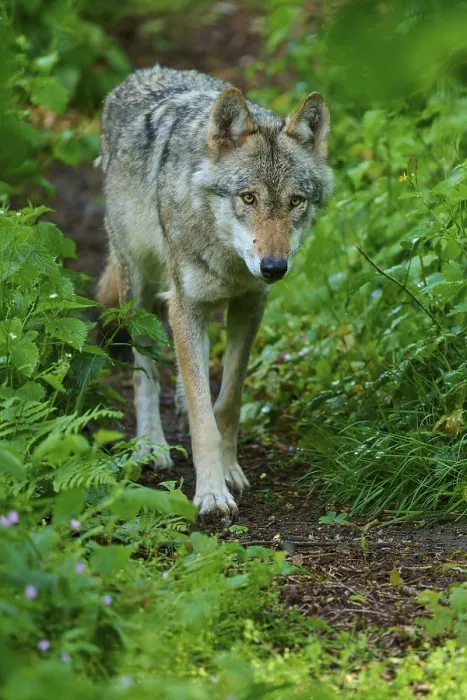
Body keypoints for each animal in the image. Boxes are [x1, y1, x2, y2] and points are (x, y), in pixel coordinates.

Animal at [96, 64, 333, 519]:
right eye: (248, 198)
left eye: (295, 201)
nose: (274, 267)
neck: (228, 261)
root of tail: (138, 75)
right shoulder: (185, 307)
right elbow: (202, 417)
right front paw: (210, 493)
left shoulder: (250, 306)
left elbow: (226, 402)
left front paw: (229, 471)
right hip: (139, 289)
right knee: (144, 372)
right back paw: (151, 446)